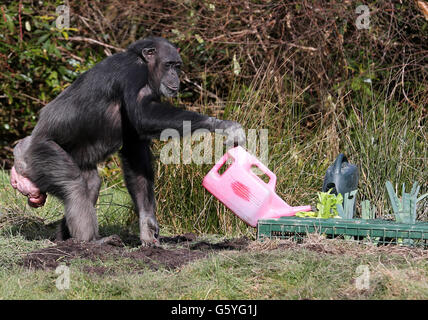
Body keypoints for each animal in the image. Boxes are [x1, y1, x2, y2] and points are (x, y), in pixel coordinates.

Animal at [10, 37, 244, 245]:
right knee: (73, 185)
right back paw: (90, 241)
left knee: (90, 184)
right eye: (169, 64)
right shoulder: (133, 72)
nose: (175, 75)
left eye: (177, 66)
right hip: (42, 154)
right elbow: (143, 114)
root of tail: (21, 153)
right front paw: (223, 125)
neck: (145, 65)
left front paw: (147, 224)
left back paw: (65, 238)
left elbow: (136, 155)